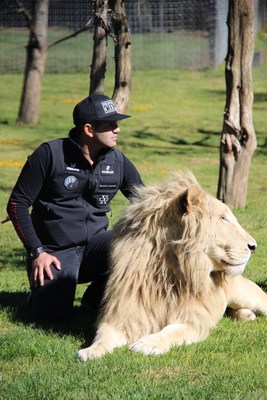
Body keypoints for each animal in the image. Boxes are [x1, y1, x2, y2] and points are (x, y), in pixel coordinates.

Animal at [77, 171, 267, 360]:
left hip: (249, 296)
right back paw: (245, 315)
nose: (254, 246)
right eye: (223, 218)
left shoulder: (194, 320)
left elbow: (172, 330)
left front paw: (147, 343)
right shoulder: (124, 313)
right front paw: (90, 351)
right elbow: (103, 334)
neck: (168, 273)